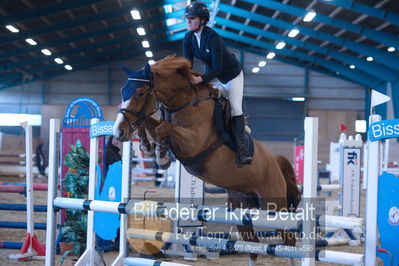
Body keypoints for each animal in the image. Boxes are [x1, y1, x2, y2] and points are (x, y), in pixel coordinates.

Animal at [112, 55, 300, 264]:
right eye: (122, 91)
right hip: (242, 209)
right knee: (253, 247)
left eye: (139, 92)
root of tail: (274, 161)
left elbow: (163, 128)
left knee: (289, 241)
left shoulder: (194, 142)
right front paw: (147, 145)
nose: (119, 132)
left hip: (272, 204)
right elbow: (150, 123)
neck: (184, 103)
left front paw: (161, 156)